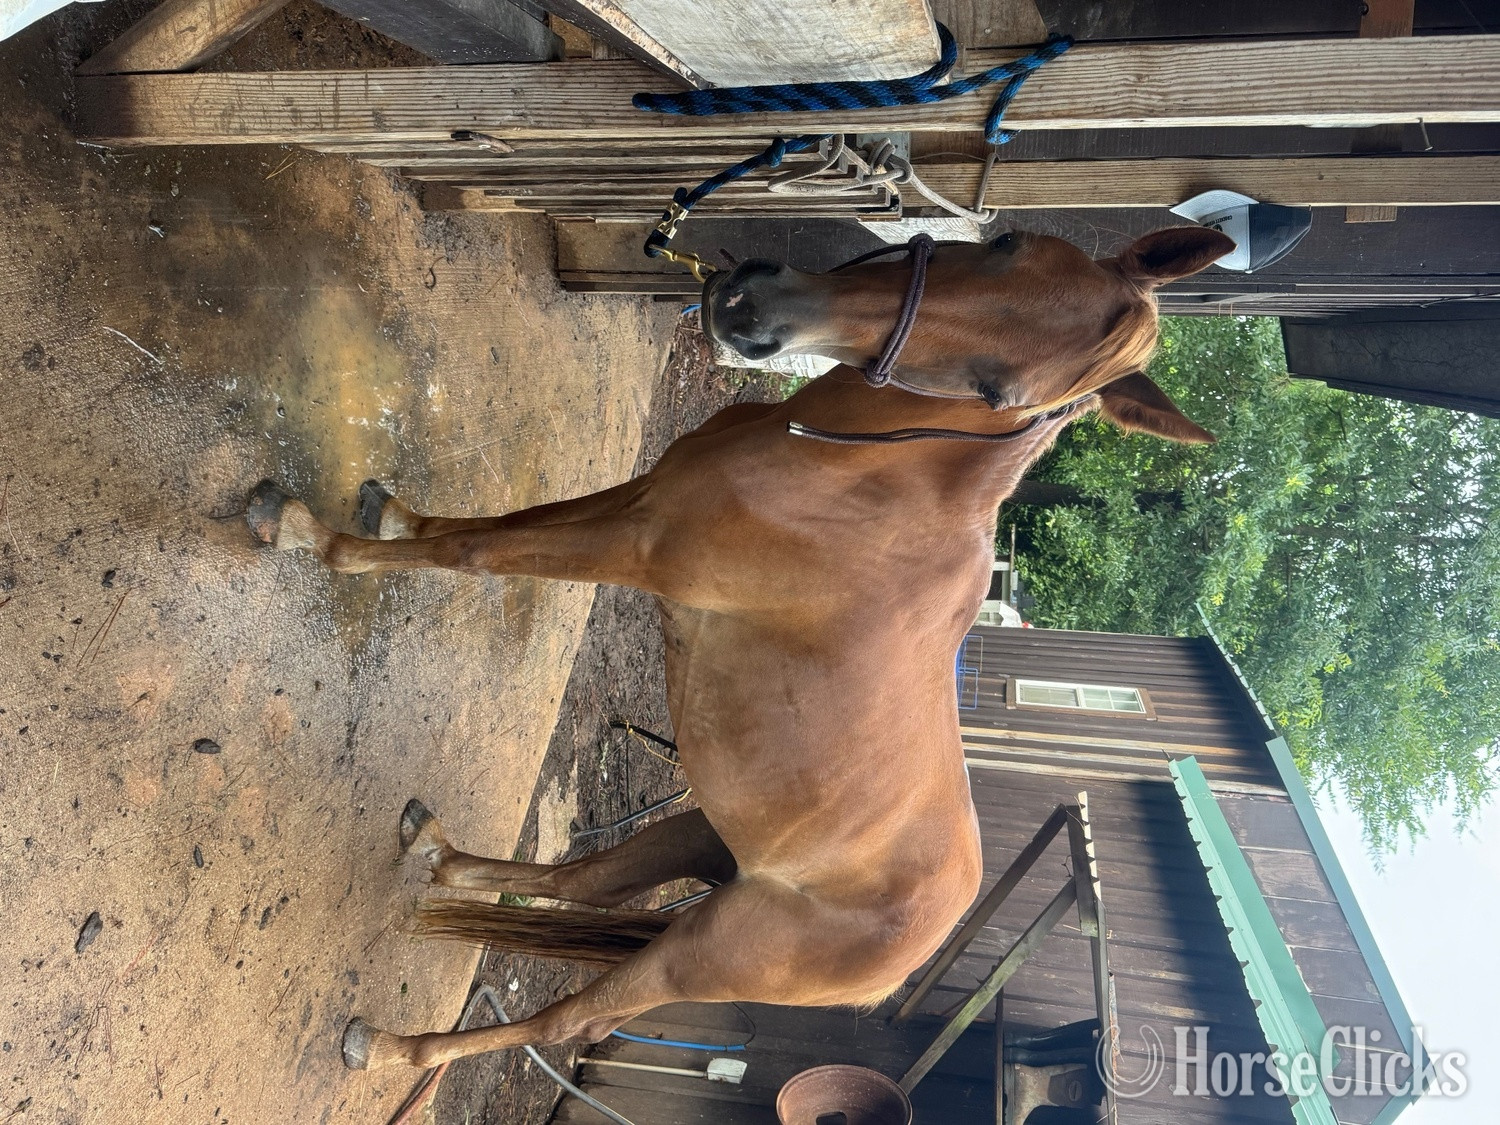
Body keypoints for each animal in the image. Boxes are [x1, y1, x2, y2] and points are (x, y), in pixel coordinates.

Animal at [243, 223, 1233, 1071]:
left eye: (998, 392)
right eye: (1004, 244)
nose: (755, 307)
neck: (861, 476)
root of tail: (910, 954)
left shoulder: (638, 545)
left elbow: (478, 553)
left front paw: (311, 537)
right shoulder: (644, 497)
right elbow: (501, 524)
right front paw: (393, 515)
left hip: (701, 951)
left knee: (573, 1018)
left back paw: (398, 1047)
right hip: (694, 834)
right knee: (587, 880)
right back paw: (440, 854)